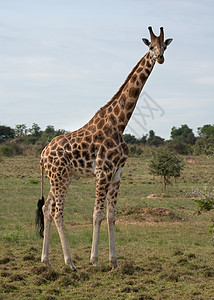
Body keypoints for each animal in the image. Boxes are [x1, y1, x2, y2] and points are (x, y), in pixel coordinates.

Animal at [35, 26, 172, 272]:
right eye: (150, 46)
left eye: (164, 46)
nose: (160, 58)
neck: (119, 123)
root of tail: (42, 155)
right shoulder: (103, 171)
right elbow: (97, 215)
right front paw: (95, 260)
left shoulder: (117, 173)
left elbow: (111, 216)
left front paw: (114, 261)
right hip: (59, 177)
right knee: (57, 212)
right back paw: (70, 263)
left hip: (59, 178)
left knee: (47, 208)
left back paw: (46, 260)